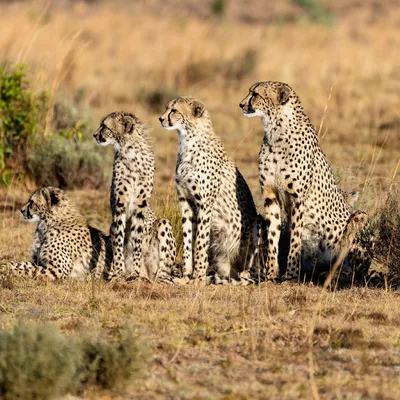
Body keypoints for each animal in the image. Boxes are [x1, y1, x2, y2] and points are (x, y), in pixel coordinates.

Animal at [94, 111, 177, 282]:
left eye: (104, 126)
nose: (94, 135)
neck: (130, 152)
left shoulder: (140, 207)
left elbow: (137, 240)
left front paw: (135, 272)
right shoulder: (120, 206)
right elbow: (119, 241)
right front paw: (119, 272)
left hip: (163, 224)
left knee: (164, 271)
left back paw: (155, 278)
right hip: (110, 228)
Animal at [159, 97, 260, 284]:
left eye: (174, 110)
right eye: (166, 108)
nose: (161, 119)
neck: (188, 142)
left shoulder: (205, 206)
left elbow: (200, 244)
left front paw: (197, 279)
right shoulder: (186, 204)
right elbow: (188, 242)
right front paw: (187, 277)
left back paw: (246, 274)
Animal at [239, 81, 358, 282]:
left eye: (255, 94)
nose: (241, 104)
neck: (275, 131)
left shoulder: (297, 198)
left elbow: (295, 237)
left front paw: (291, 275)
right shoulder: (270, 196)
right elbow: (272, 235)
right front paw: (271, 274)